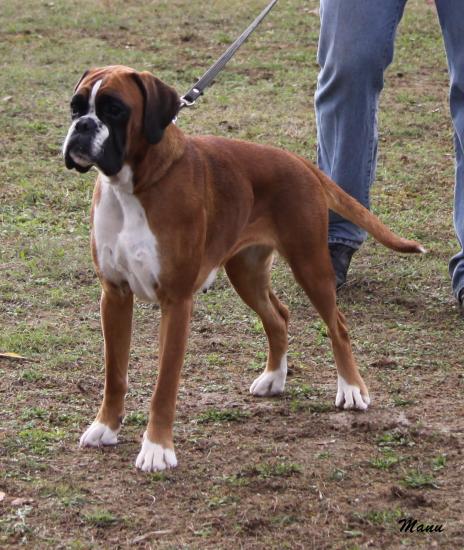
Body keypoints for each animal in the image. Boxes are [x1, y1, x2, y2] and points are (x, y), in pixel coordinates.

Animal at [63, 65, 424, 472]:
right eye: (76, 107)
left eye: (115, 110)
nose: (82, 126)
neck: (131, 187)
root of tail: (299, 162)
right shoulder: (115, 295)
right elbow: (115, 374)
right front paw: (105, 427)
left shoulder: (176, 302)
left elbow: (164, 385)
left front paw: (157, 448)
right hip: (246, 273)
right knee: (278, 317)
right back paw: (274, 378)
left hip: (311, 266)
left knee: (339, 326)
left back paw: (351, 390)